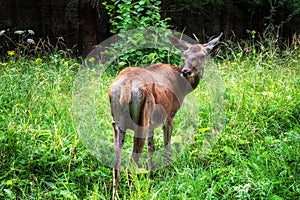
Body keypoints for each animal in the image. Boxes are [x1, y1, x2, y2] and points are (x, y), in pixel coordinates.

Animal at [109, 32, 221, 198]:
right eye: (185, 54)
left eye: (202, 55)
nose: (186, 71)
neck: (182, 88)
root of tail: (126, 87)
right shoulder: (170, 115)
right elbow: (167, 145)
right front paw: (169, 172)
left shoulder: (152, 122)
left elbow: (152, 148)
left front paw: (151, 175)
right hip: (141, 121)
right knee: (130, 166)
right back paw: (136, 193)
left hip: (118, 124)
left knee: (116, 167)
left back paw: (116, 195)